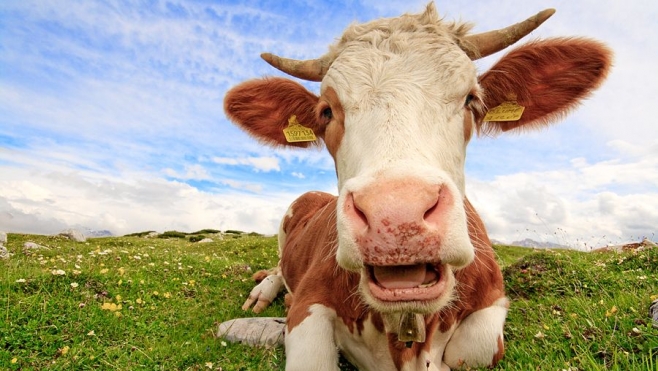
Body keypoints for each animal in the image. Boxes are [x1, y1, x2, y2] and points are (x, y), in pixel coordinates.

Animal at [222, 2, 608, 371]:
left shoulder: (494, 297)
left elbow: (474, 349)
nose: (397, 217)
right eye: (326, 111)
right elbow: (311, 358)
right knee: (277, 267)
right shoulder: (310, 300)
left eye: (471, 99)